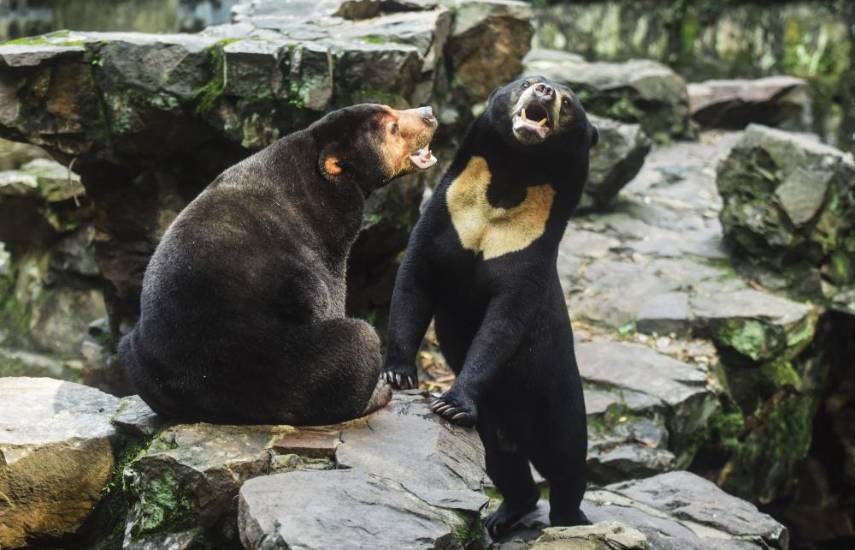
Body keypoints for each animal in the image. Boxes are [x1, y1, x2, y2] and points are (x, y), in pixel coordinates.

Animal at [119, 103, 438, 426]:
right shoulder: (327, 241)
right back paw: (377, 393)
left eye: (393, 110)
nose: (428, 112)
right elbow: (329, 296)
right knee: (358, 342)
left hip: (136, 355)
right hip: (282, 362)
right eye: (392, 128)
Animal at [382, 77, 598, 538]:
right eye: (526, 82)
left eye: (569, 102)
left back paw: (569, 520)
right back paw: (504, 516)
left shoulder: (528, 251)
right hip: (496, 422)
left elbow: (502, 324)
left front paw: (450, 403)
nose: (545, 90)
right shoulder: (443, 219)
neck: (511, 178)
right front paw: (398, 373)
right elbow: (413, 283)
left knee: (567, 461)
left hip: (559, 396)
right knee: (504, 461)